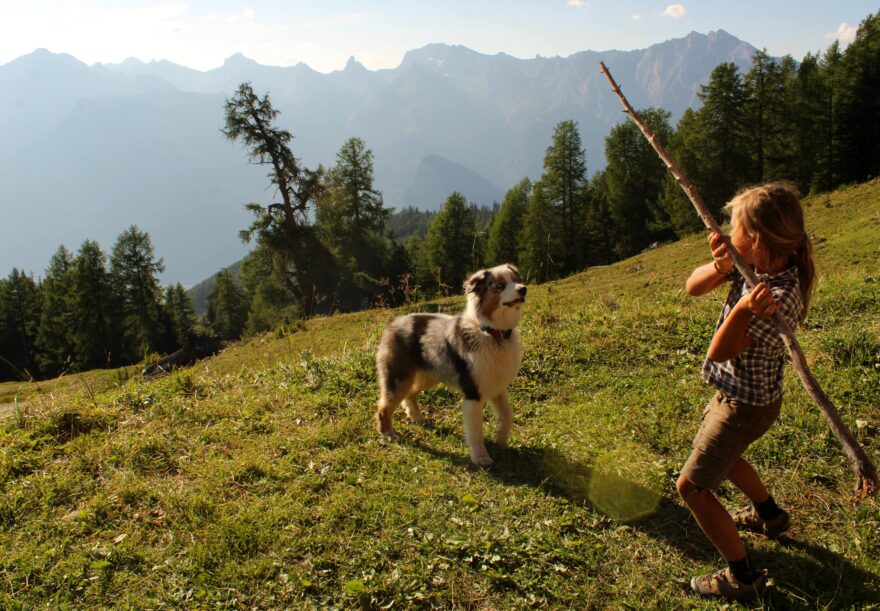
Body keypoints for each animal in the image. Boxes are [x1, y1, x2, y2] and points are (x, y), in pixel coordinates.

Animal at [374, 260, 524, 466]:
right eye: (500, 285)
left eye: (516, 280)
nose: (523, 289)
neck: (493, 334)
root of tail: (392, 322)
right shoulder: (473, 394)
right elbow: (476, 431)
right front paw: (481, 458)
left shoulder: (497, 386)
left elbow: (507, 415)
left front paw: (501, 440)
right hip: (398, 379)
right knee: (383, 407)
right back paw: (388, 434)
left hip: (429, 376)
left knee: (410, 395)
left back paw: (417, 418)